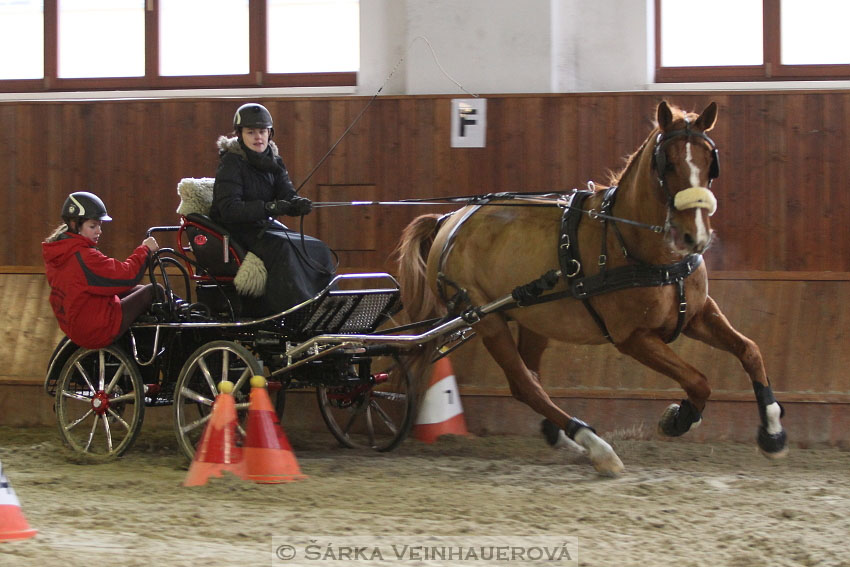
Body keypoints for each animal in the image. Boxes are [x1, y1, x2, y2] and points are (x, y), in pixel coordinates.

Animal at [398, 102, 788, 474]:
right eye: (668, 164)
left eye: (710, 162)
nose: (696, 237)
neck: (635, 244)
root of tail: (450, 219)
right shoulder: (634, 338)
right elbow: (698, 380)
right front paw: (678, 419)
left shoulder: (697, 315)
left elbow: (750, 351)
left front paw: (772, 432)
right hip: (486, 320)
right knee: (525, 384)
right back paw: (597, 447)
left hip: (533, 318)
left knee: (529, 380)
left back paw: (568, 437)